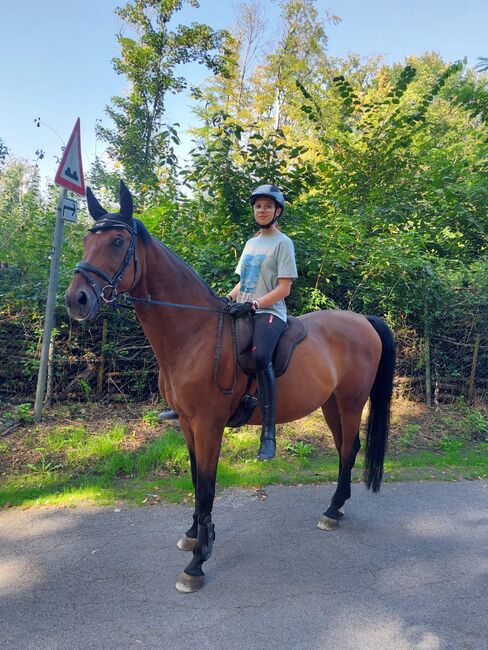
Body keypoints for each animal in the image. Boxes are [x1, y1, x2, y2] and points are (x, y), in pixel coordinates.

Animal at [66, 181, 396, 592]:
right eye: (86, 240)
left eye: (116, 242)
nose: (76, 299)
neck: (194, 335)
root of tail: (365, 321)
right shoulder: (188, 423)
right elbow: (195, 479)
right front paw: (194, 535)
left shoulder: (208, 424)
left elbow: (207, 486)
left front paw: (197, 562)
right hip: (331, 403)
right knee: (344, 449)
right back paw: (336, 507)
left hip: (351, 402)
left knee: (349, 448)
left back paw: (333, 511)